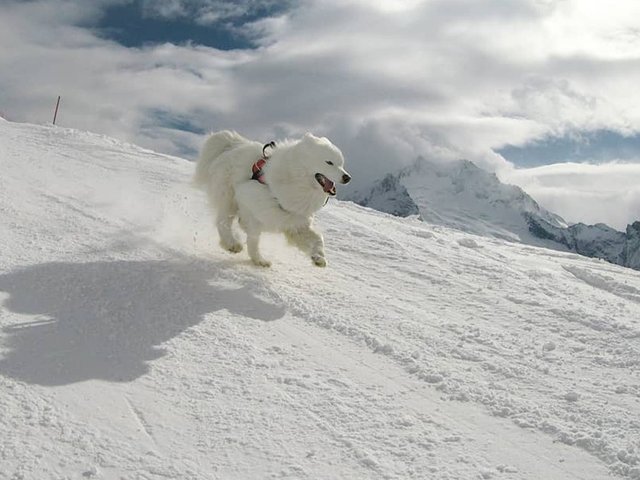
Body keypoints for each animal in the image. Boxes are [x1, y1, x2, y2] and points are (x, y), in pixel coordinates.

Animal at [192, 130, 352, 266]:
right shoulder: (249, 198)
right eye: (329, 162)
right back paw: (232, 243)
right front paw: (258, 259)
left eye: (341, 164)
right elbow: (253, 239)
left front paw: (319, 258)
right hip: (228, 197)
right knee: (222, 221)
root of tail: (231, 144)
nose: (347, 177)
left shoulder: (296, 222)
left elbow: (318, 239)